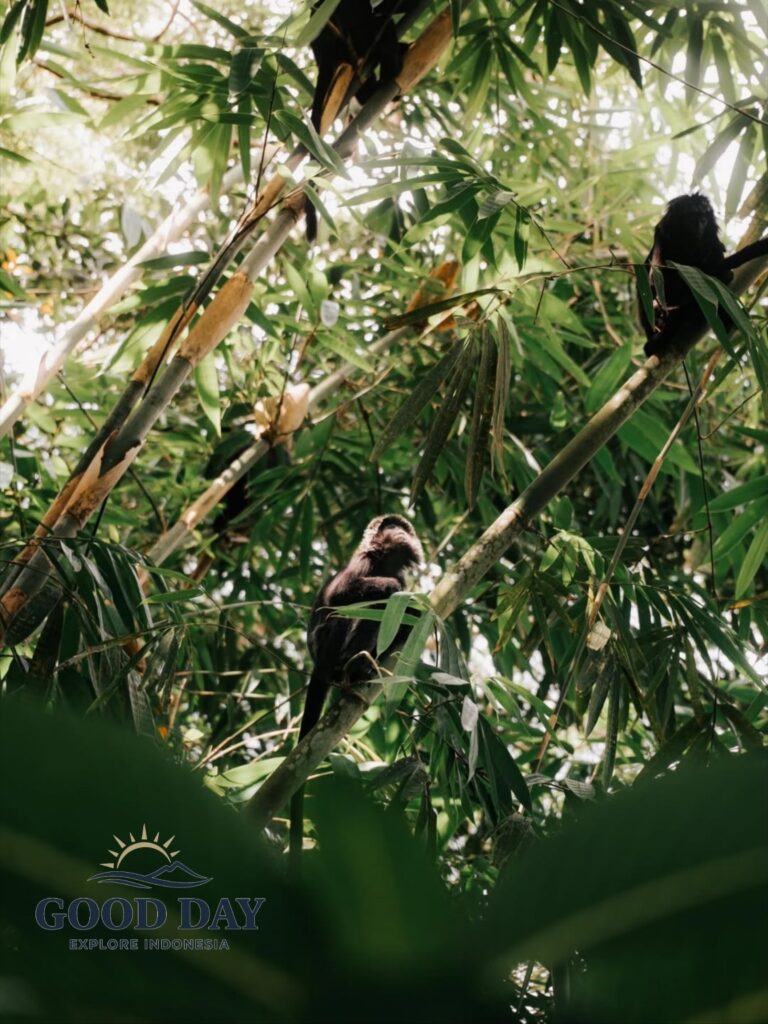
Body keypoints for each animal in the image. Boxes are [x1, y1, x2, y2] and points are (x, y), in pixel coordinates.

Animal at [289, 513, 423, 865]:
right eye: (394, 527)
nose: (401, 531)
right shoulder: (363, 563)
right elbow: (341, 596)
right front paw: (394, 590)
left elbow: (409, 615)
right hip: (325, 645)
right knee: (346, 612)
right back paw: (350, 665)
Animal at [638, 193, 768, 357]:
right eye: (692, 216)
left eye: (703, 217)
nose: (700, 223)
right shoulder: (662, 235)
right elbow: (655, 279)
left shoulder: (711, 239)